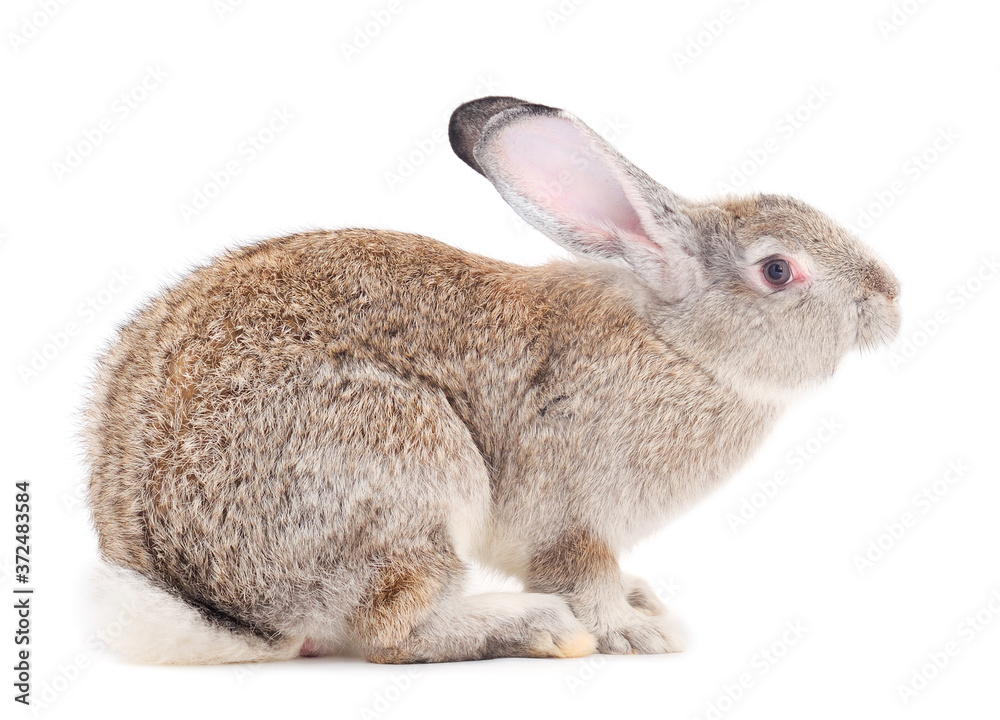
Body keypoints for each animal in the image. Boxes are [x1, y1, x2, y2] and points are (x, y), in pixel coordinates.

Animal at [85, 95, 900, 665]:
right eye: (778, 270)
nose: (889, 300)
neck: (680, 346)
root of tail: (230, 612)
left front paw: (644, 601)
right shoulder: (571, 518)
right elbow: (581, 576)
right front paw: (634, 633)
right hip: (407, 465)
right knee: (394, 631)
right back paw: (534, 631)